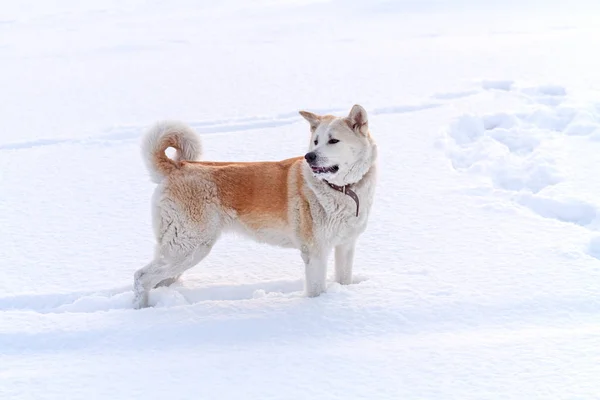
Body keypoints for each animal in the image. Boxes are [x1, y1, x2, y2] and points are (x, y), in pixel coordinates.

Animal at [134, 104, 378, 308]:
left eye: (333, 141)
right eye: (316, 141)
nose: (309, 156)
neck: (342, 189)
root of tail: (178, 166)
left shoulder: (345, 246)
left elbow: (344, 279)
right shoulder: (315, 252)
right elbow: (317, 290)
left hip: (179, 250)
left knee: (156, 279)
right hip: (188, 248)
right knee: (141, 277)